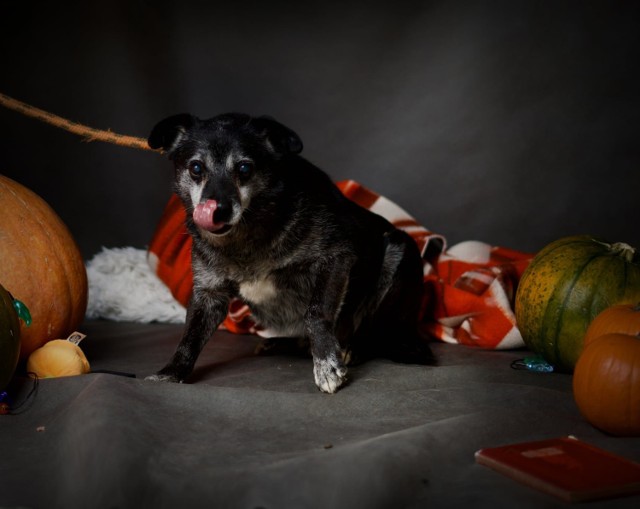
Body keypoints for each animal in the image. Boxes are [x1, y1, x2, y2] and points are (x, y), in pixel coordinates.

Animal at [148, 114, 432, 392]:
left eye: (244, 168)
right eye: (196, 168)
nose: (217, 210)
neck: (245, 235)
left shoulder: (335, 258)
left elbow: (315, 312)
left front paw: (326, 364)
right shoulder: (209, 294)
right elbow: (189, 338)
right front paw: (171, 373)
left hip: (400, 250)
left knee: (375, 332)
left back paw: (353, 348)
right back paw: (280, 343)